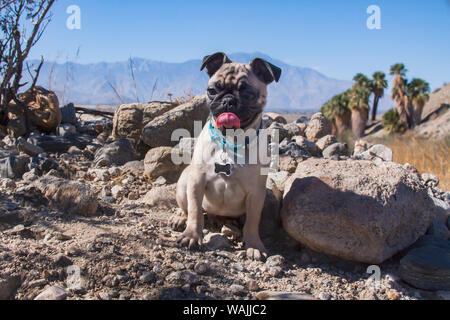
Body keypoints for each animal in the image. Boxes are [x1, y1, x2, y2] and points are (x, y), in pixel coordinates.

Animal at [172, 52, 282, 262]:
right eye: (212, 90)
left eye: (248, 94)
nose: (228, 100)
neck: (229, 141)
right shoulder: (196, 182)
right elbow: (195, 211)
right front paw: (192, 235)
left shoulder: (256, 193)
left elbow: (252, 222)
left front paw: (254, 245)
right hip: (183, 184)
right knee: (186, 208)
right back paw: (181, 218)